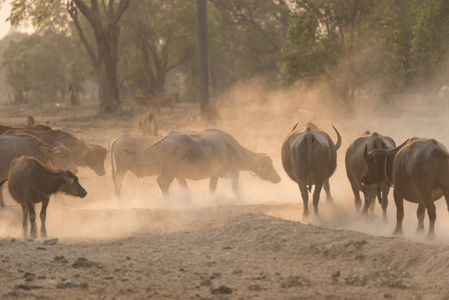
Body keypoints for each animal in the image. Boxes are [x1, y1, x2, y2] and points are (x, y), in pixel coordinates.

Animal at [147, 128, 280, 199]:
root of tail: (165, 138)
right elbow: (235, 188)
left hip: (167, 169)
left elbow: (212, 188)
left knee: (162, 181)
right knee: (164, 182)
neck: (233, 149)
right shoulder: (234, 172)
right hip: (172, 169)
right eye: (269, 164)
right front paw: (241, 199)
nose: (278, 178)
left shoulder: (214, 175)